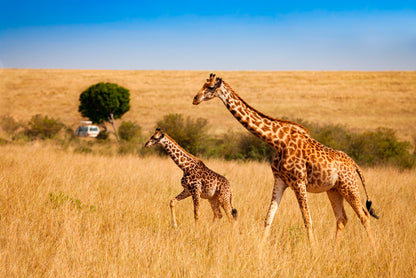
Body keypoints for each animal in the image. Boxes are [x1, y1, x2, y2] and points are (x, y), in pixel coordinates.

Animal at [192, 73, 376, 245]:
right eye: (203, 84)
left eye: (210, 87)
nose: (195, 99)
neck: (277, 141)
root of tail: (354, 164)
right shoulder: (280, 180)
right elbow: (268, 219)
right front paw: (261, 248)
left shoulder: (299, 182)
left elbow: (307, 220)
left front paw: (313, 250)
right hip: (334, 189)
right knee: (342, 218)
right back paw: (335, 248)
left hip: (349, 186)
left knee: (364, 216)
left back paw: (373, 250)